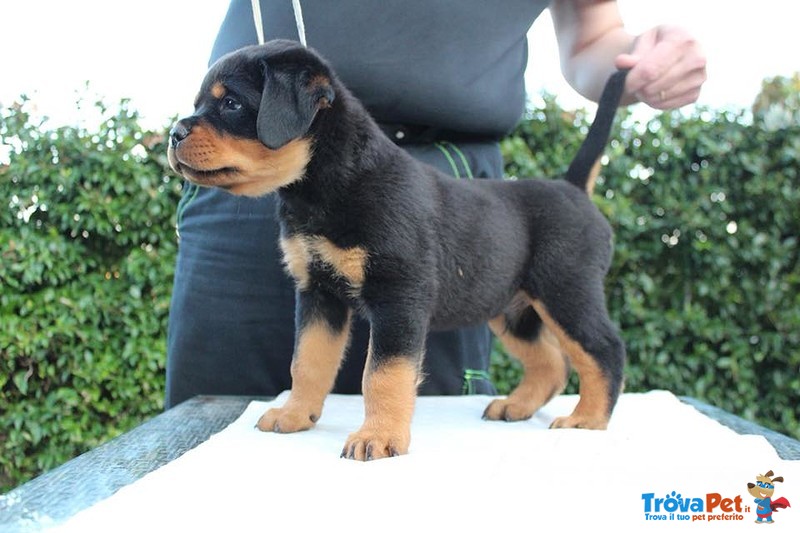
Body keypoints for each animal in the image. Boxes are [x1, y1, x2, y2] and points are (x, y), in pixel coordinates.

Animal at [169, 39, 628, 460]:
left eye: (230, 102)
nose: (173, 133)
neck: (323, 189)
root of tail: (572, 188)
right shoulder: (319, 293)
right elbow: (307, 362)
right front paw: (295, 415)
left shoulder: (399, 295)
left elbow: (383, 373)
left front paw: (378, 437)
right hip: (511, 309)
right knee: (551, 363)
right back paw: (516, 406)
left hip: (565, 290)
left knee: (603, 349)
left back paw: (587, 419)